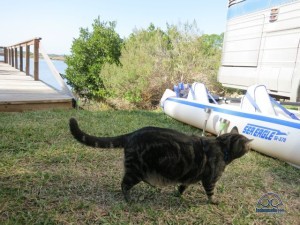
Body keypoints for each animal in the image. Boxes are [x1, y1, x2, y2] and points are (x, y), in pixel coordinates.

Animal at [69, 118, 252, 204]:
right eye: (247, 147)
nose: (250, 148)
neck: (222, 145)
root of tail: (132, 134)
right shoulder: (210, 179)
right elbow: (211, 193)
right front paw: (213, 201)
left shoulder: (188, 177)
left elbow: (182, 187)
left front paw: (177, 195)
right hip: (136, 171)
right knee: (123, 185)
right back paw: (129, 200)